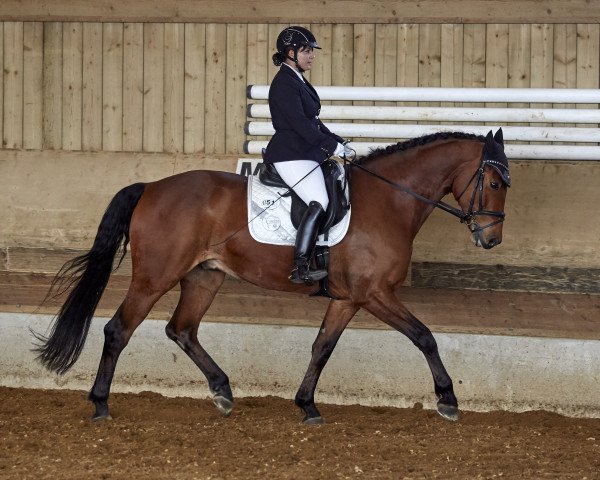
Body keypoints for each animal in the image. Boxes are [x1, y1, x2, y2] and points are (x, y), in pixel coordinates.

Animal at [35, 128, 508, 424]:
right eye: (495, 183)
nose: (491, 239)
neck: (390, 200)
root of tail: (151, 187)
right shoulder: (374, 293)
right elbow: (424, 336)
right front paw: (448, 400)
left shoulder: (348, 298)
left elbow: (322, 347)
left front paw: (307, 405)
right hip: (155, 277)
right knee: (119, 329)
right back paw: (100, 404)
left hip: (204, 276)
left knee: (182, 329)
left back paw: (222, 391)